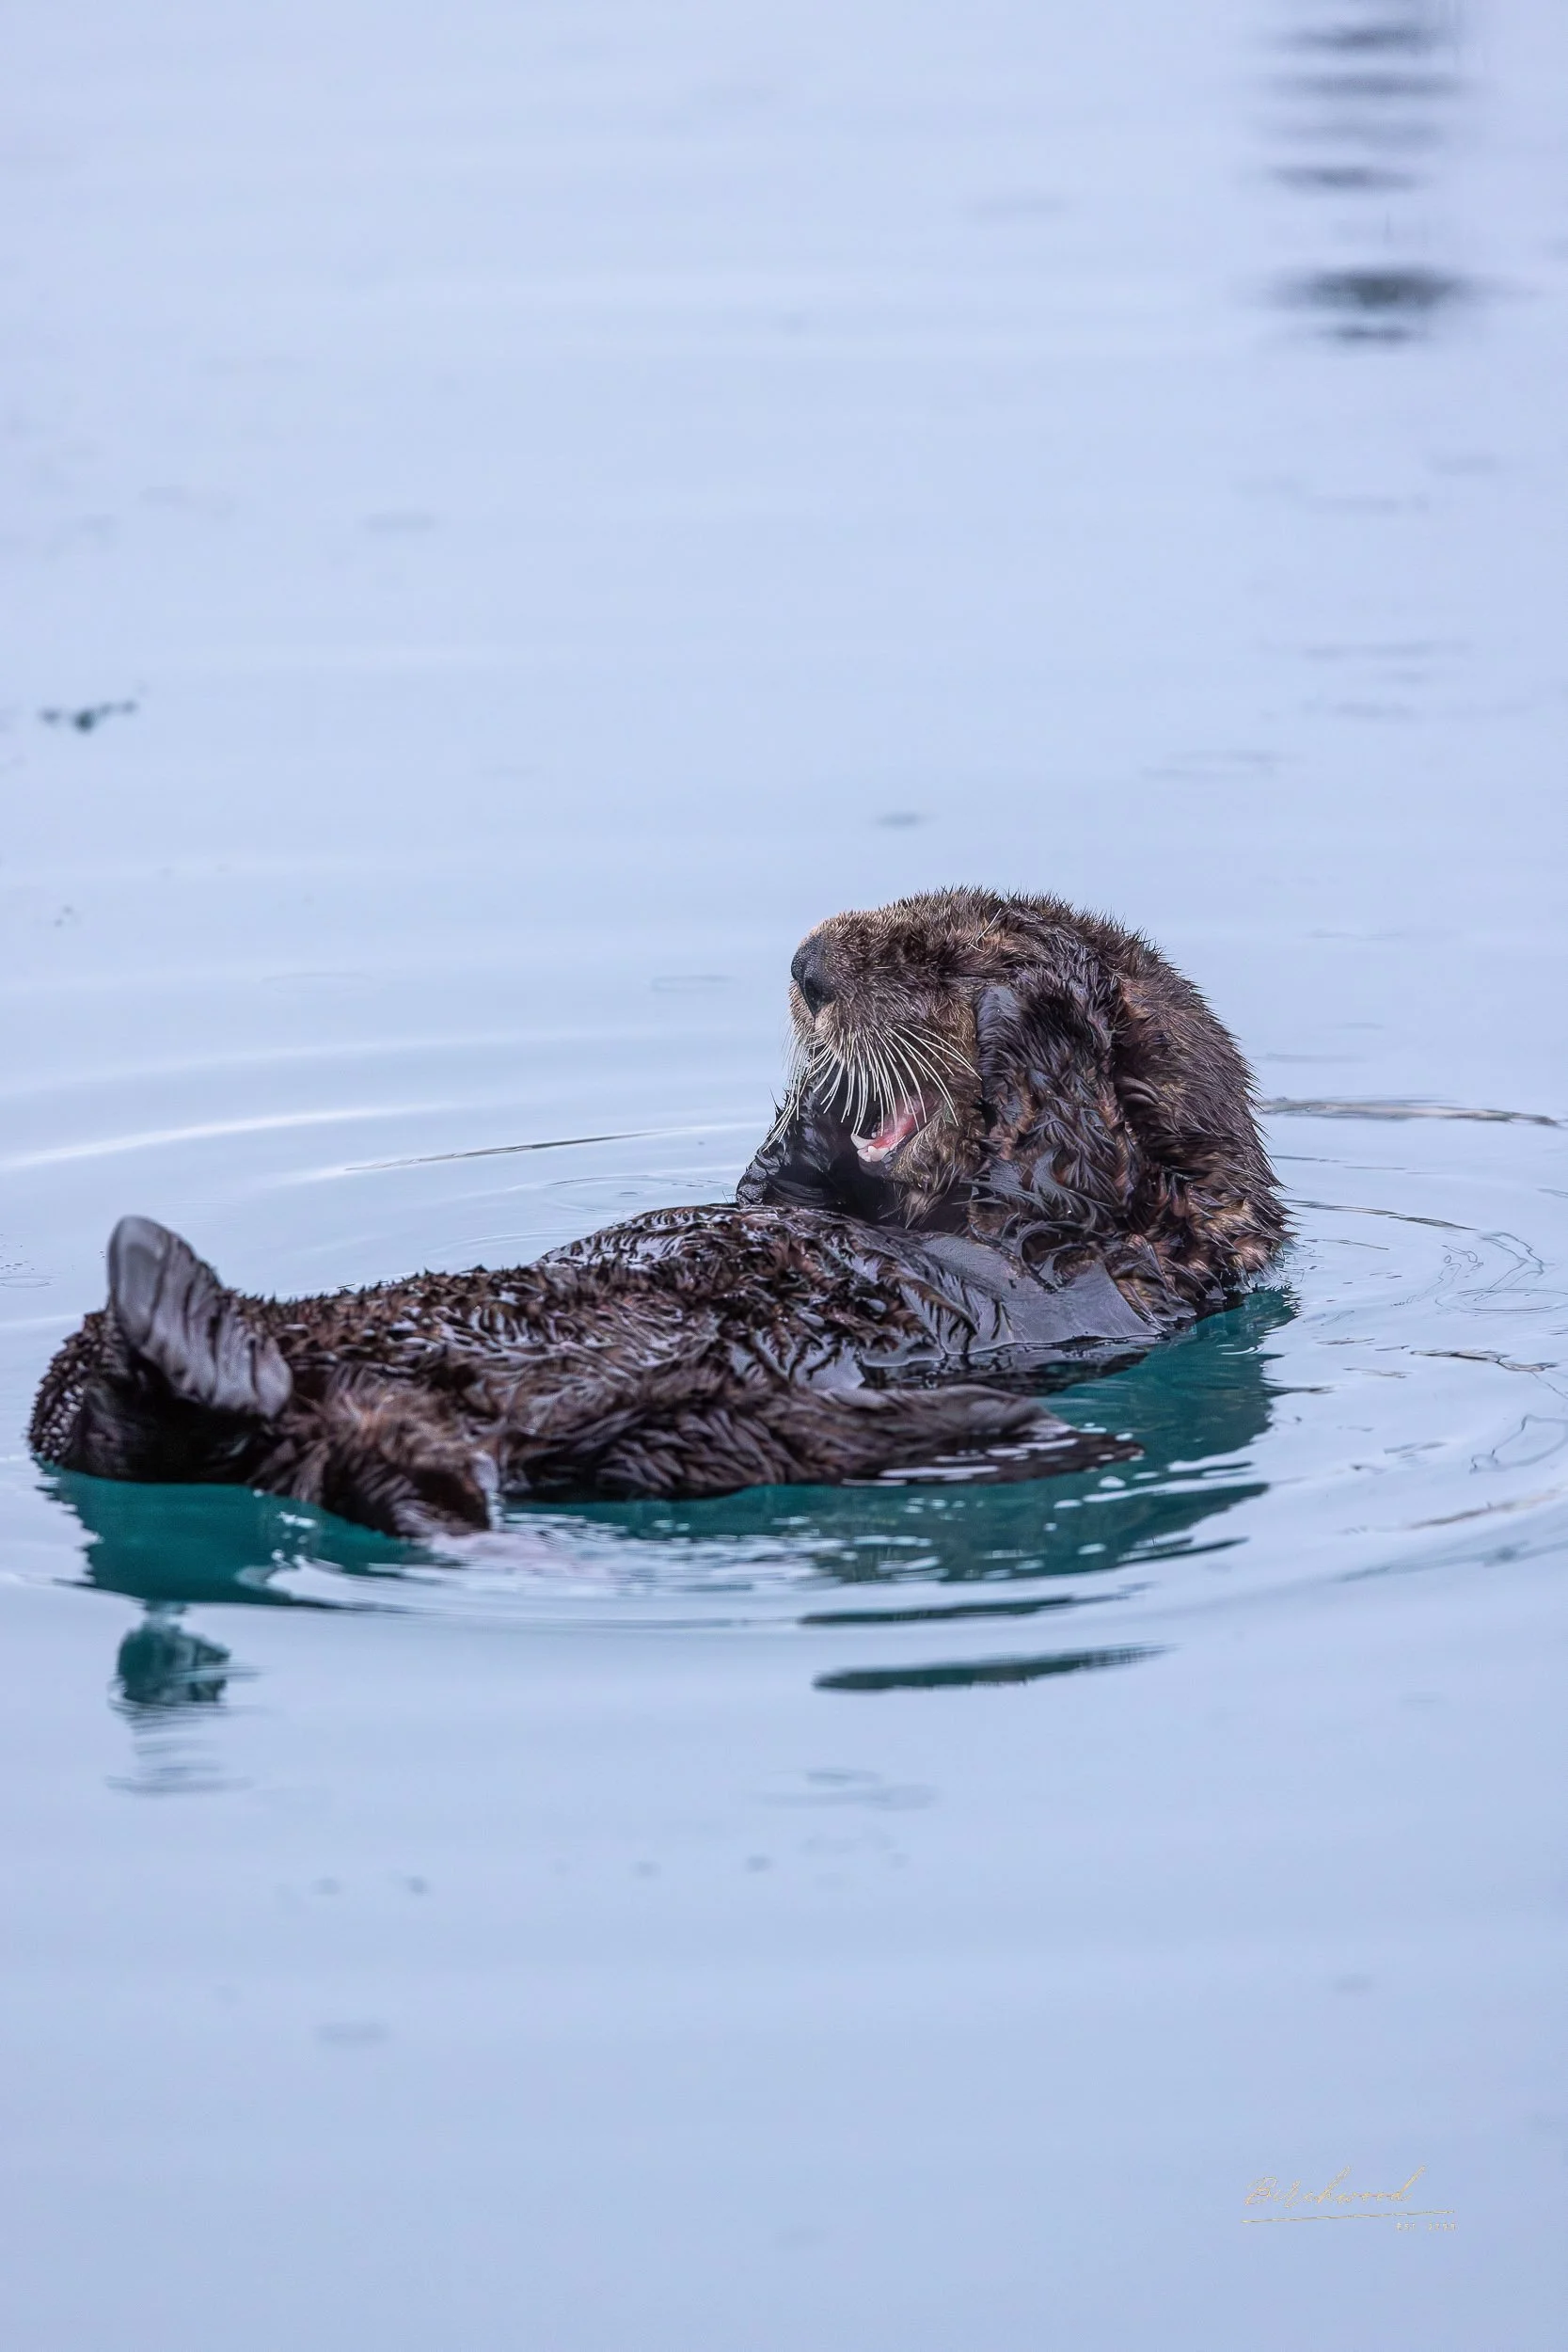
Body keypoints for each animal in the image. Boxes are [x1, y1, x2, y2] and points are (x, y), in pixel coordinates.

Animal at [29, 888, 1286, 1538]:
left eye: (930, 955)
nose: (808, 966)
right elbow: (768, 1191)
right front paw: (816, 1107)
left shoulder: (1101, 1254)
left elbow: (1059, 1144)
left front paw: (1030, 999)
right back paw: (165, 1294)